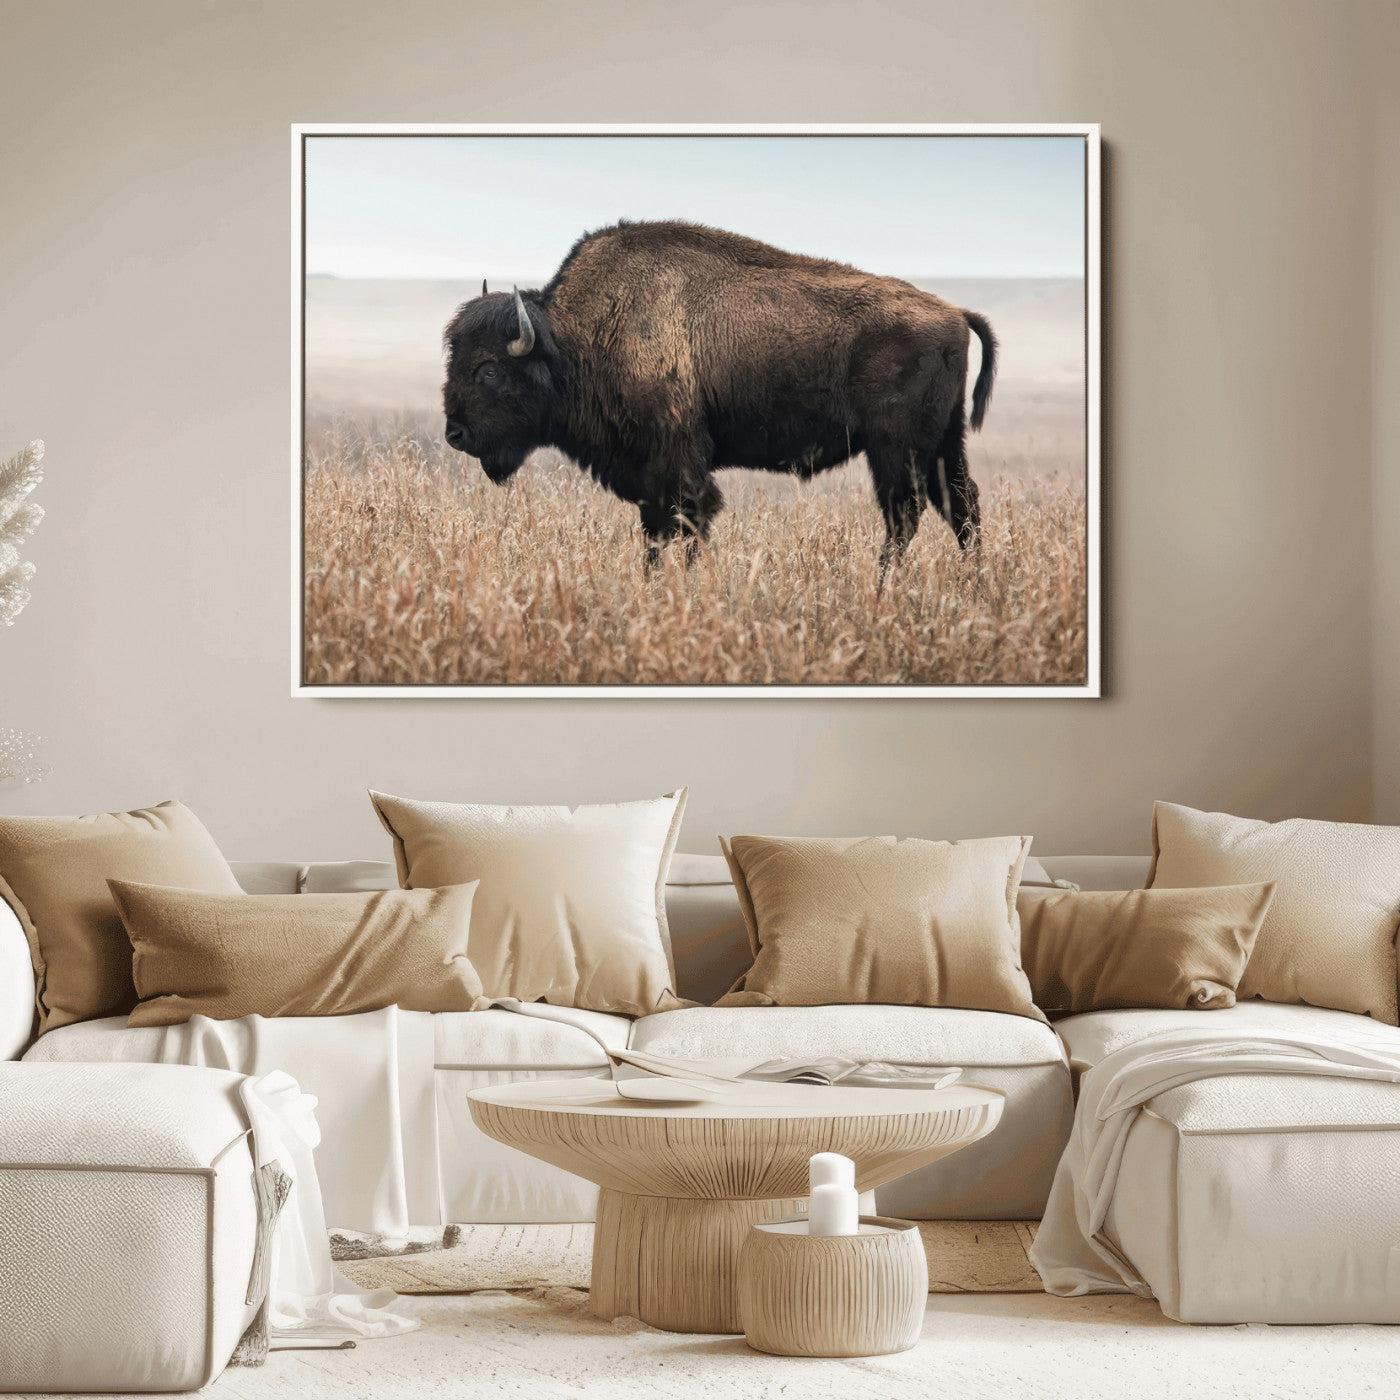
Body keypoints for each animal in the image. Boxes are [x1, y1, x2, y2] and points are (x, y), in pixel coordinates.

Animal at [443, 220, 996, 570]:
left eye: (489, 369)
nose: (455, 434)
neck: (577, 338)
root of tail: (954, 312)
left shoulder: (678, 466)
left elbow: (688, 524)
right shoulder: (650, 478)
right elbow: (656, 534)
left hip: (896, 449)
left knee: (906, 514)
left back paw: (884, 585)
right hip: (943, 444)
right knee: (961, 506)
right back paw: (972, 584)